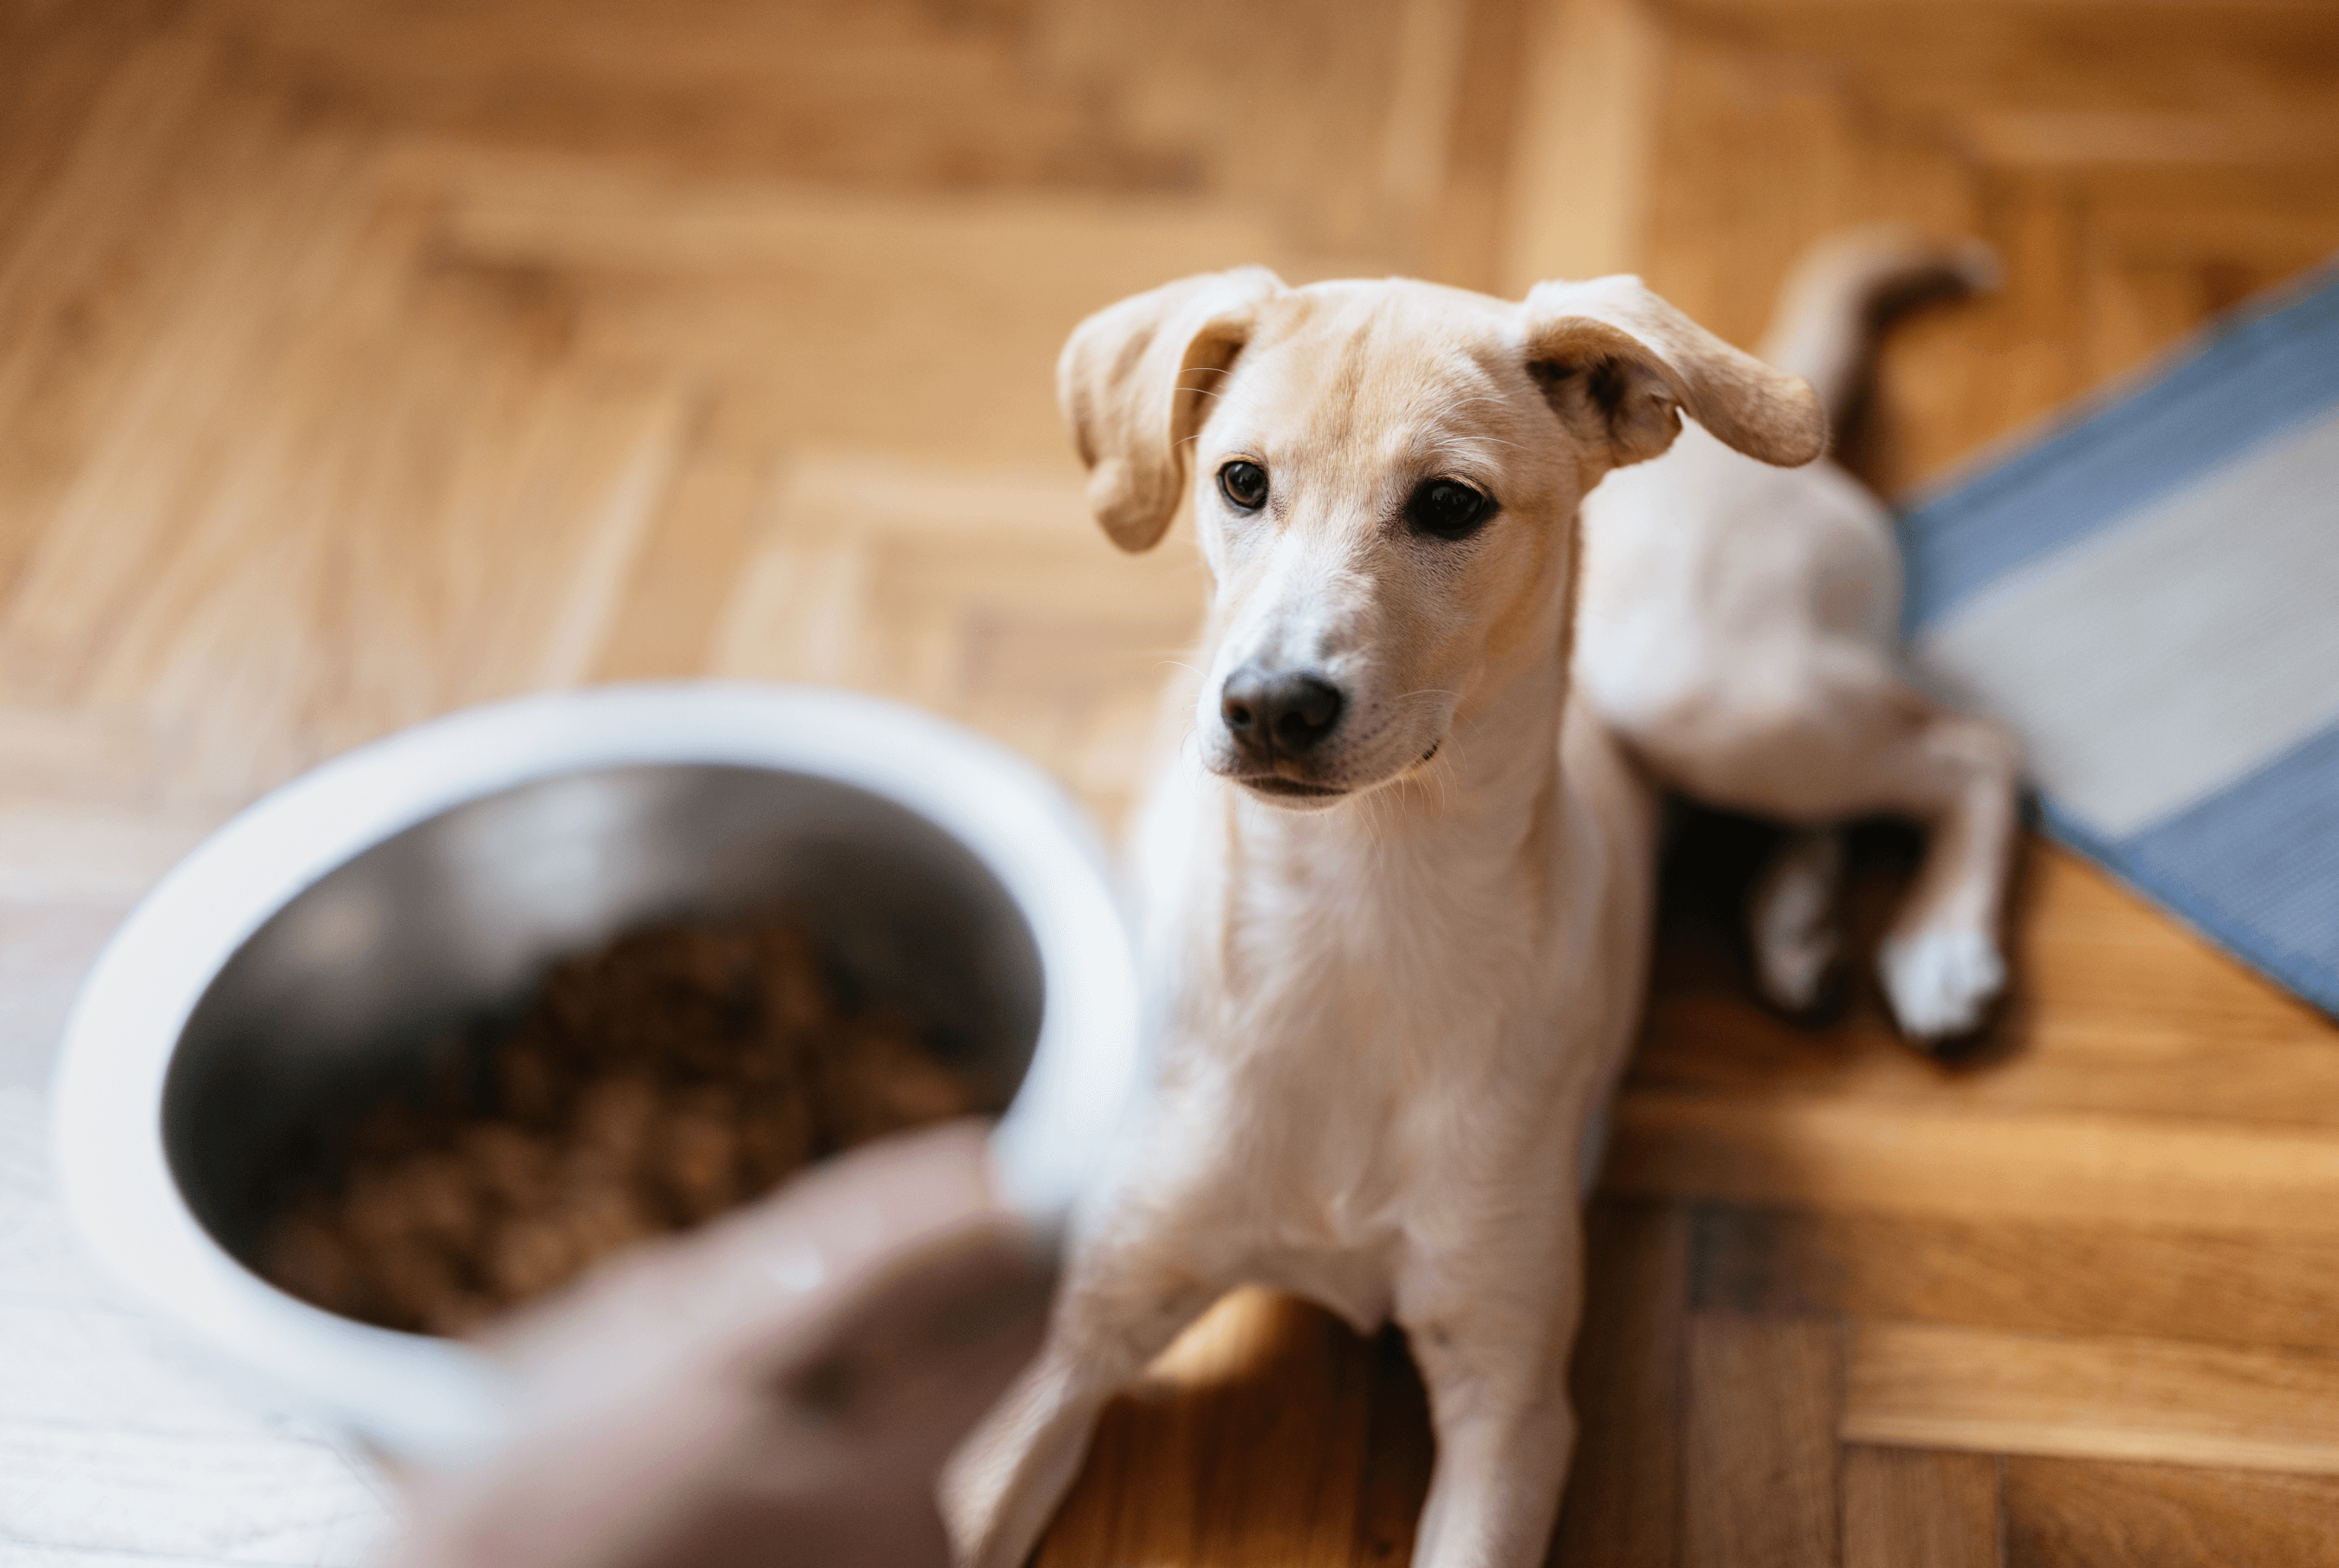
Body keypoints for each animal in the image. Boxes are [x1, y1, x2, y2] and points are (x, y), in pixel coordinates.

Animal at [944, 270, 1824, 1568]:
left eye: (1451, 504)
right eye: (1241, 480)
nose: (1269, 704)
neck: (1361, 913)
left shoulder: (1509, 1394)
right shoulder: (1070, 1334)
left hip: (1722, 706)